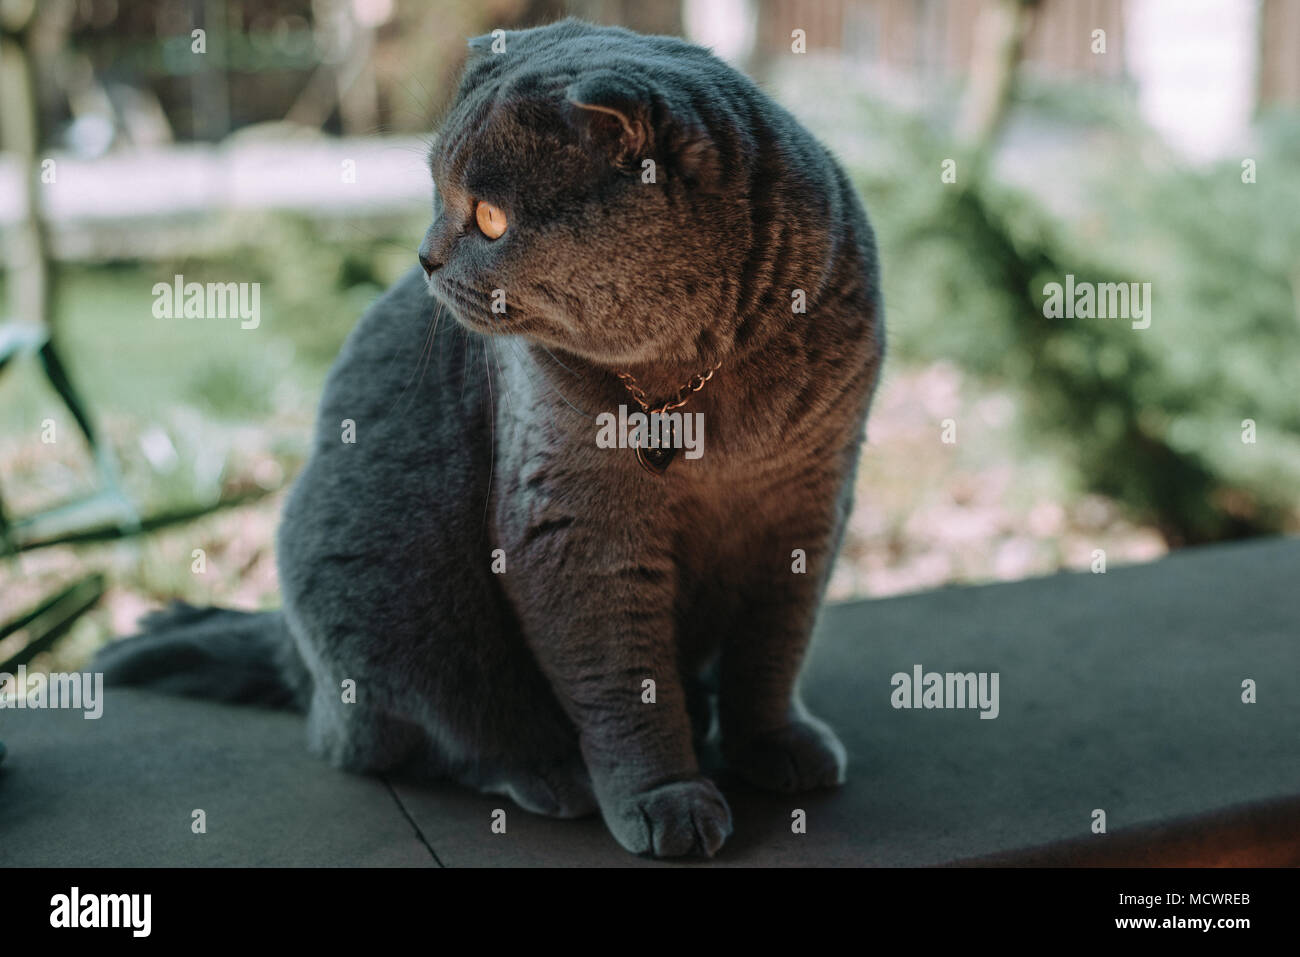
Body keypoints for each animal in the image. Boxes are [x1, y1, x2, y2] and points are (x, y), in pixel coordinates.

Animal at [94, 18, 883, 858]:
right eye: (436, 195)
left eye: (492, 218)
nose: (424, 255)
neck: (701, 386)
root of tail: (292, 656)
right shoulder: (573, 522)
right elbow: (623, 683)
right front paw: (665, 796)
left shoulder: (810, 500)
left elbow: (772, 650)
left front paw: (774, 742)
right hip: (389, 589)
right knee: (417, 735)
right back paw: (550, 773)